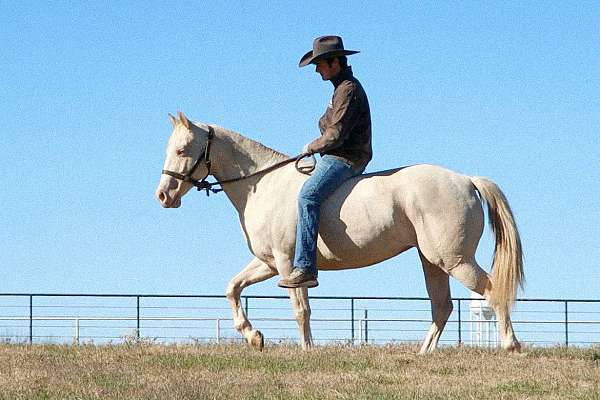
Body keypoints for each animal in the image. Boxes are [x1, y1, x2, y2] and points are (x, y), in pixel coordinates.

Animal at [157, 111, 524, 352]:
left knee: (492, 291)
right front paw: (253, 337)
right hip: (432, 261)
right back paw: (423, 355)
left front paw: (307, 351)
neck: (263, 185)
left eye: (182, 150)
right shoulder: (269, 263)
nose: (163, 195)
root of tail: (466, 180)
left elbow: (301, 309)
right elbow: (232, 288)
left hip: (454, 260)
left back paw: (510, 345)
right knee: (442, 307)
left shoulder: (289, 265)